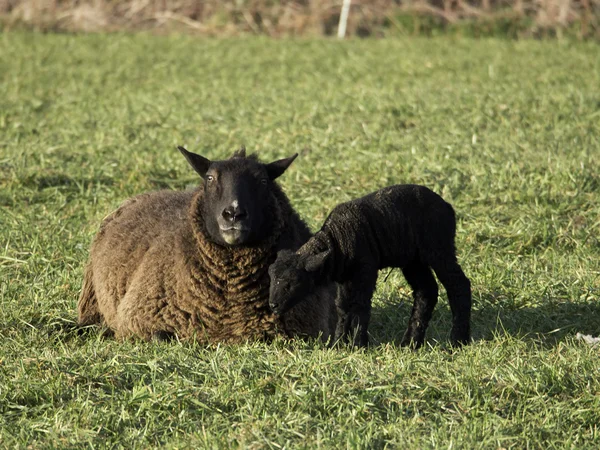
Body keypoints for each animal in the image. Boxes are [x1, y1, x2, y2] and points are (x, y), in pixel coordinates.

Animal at [268, 183, 474, 348]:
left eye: (292, 282)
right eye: (271, 278)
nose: (272, 305)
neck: (337, 240)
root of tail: (447, 207)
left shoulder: (365, 269)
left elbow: (360, 305)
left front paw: (359, 344)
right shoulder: (345, 276)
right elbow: (342, 307)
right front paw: (338, 344)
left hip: (439, 247)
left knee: (458, 284)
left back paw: (457, 340)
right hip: (413, 260)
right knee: (426, 291)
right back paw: (410, 343)